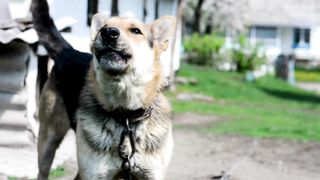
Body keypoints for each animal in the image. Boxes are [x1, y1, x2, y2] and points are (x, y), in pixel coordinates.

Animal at [31, 0, 175, 180]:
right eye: (103, 28)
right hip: (48, 141)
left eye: (136, 31)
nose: (107, 32)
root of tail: (69, 51)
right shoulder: (95, 174)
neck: (126, 116)